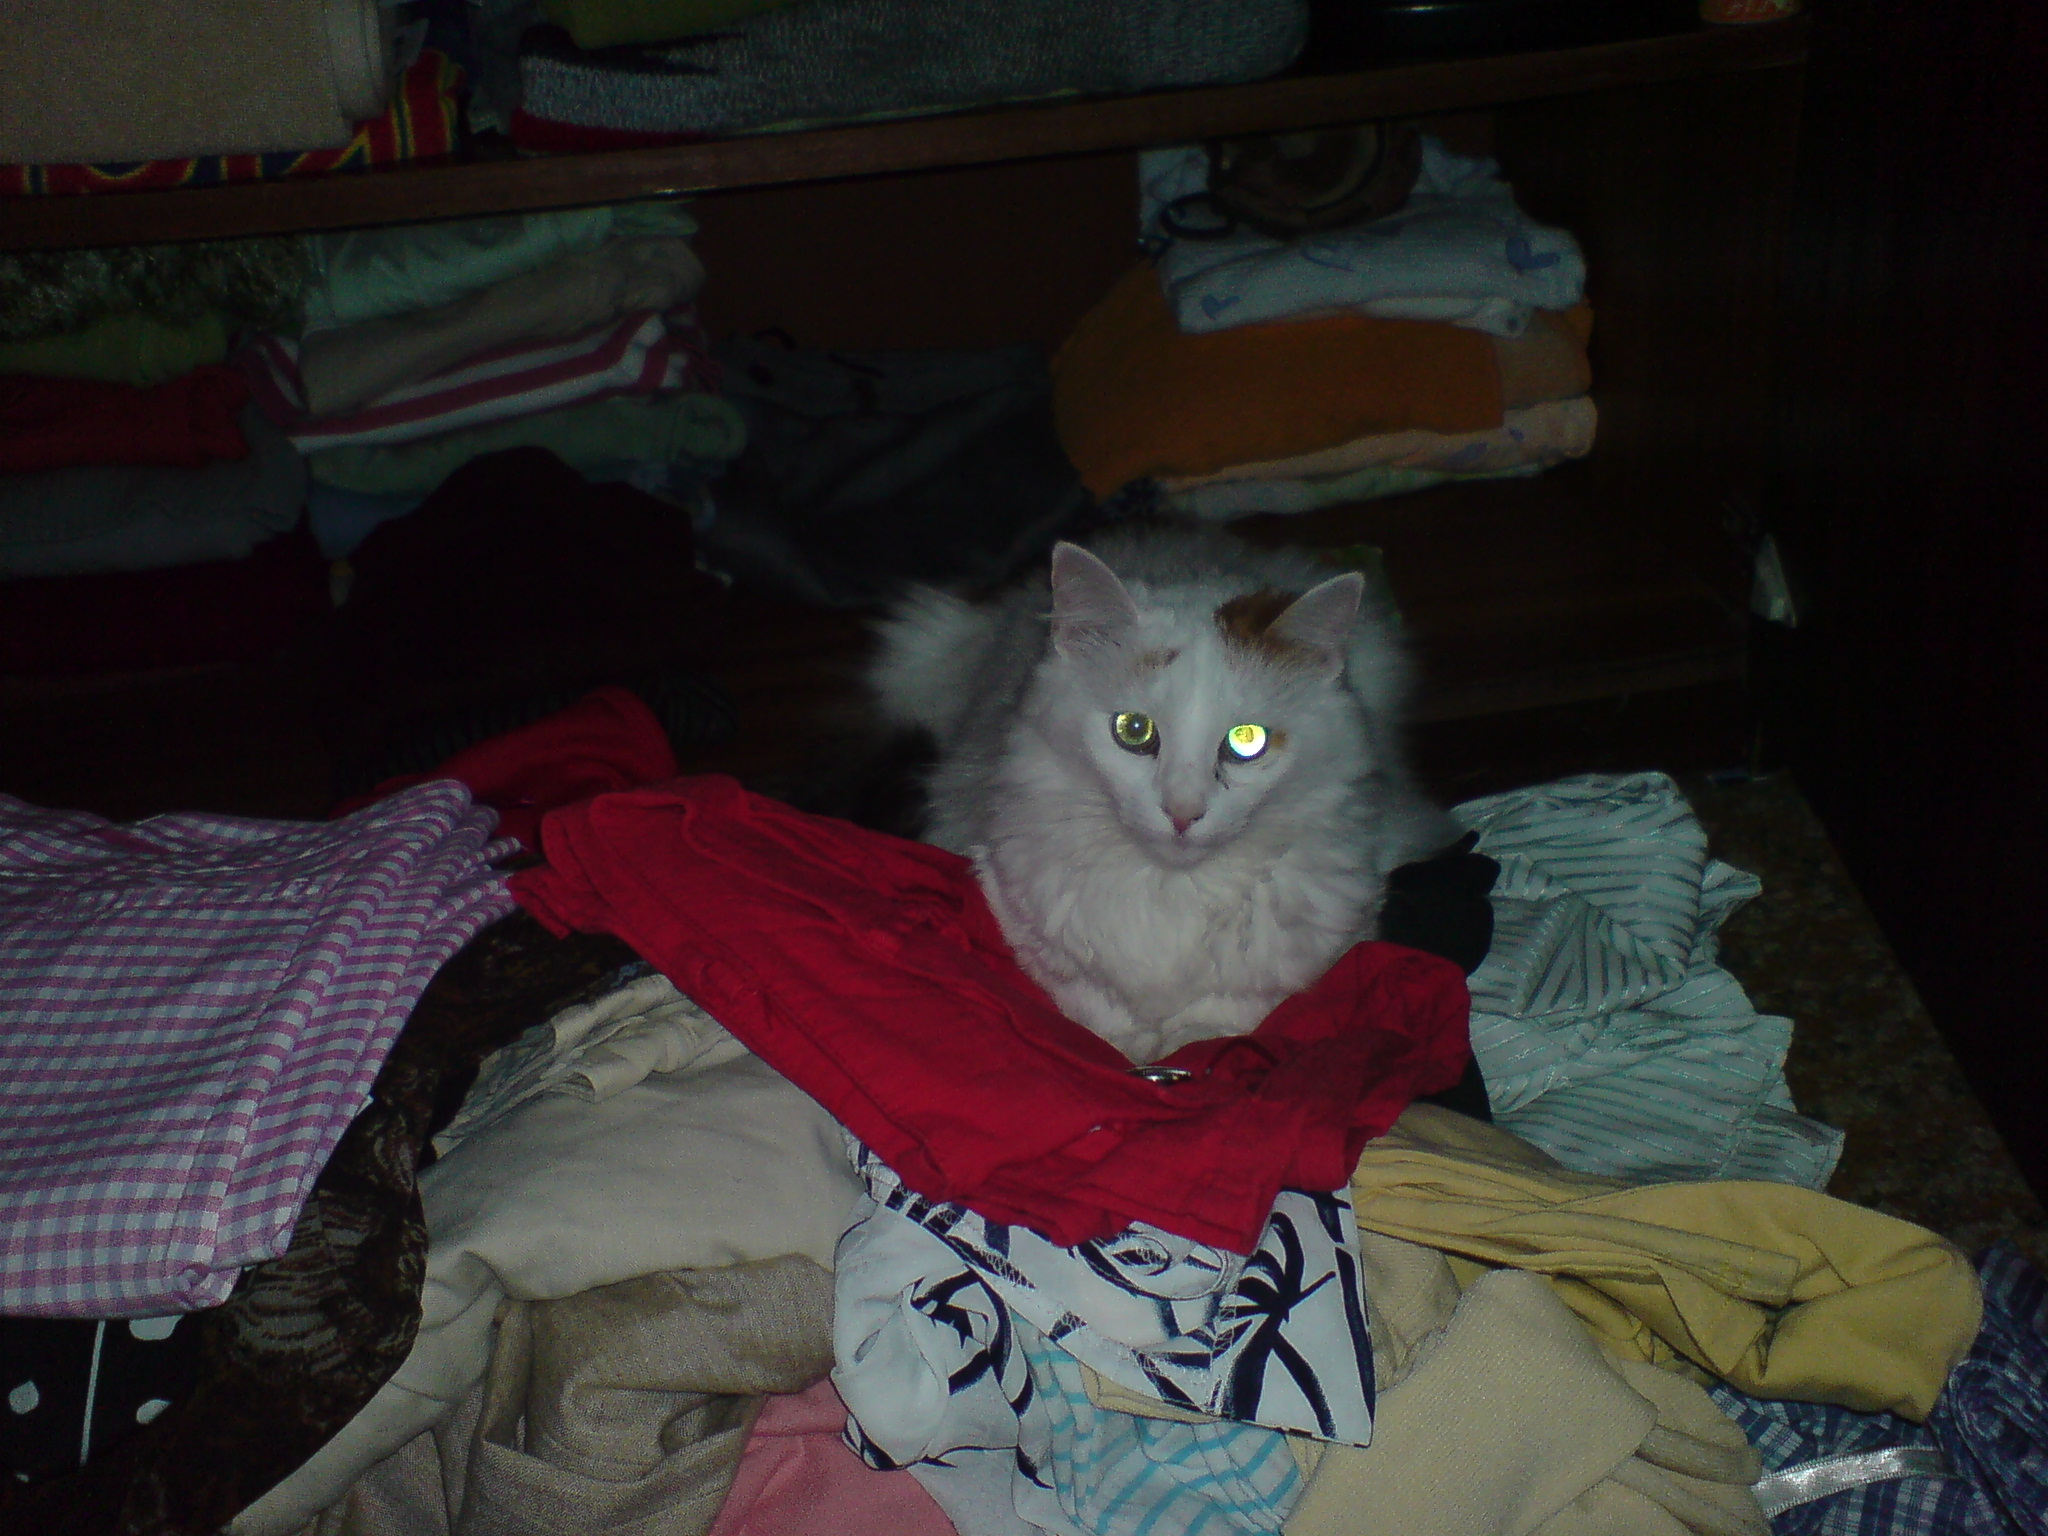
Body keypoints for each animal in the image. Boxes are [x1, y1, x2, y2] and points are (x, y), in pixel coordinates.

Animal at [867, 519, 1455, 1063]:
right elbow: (1095, 1009)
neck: (1175, 889)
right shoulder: (1016, 901)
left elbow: (1228, 1011)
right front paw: (1131, 1052)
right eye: (1133, 730)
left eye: (1247, 741)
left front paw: (1187, 1046)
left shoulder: (1347, 908)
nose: (1182, 813)